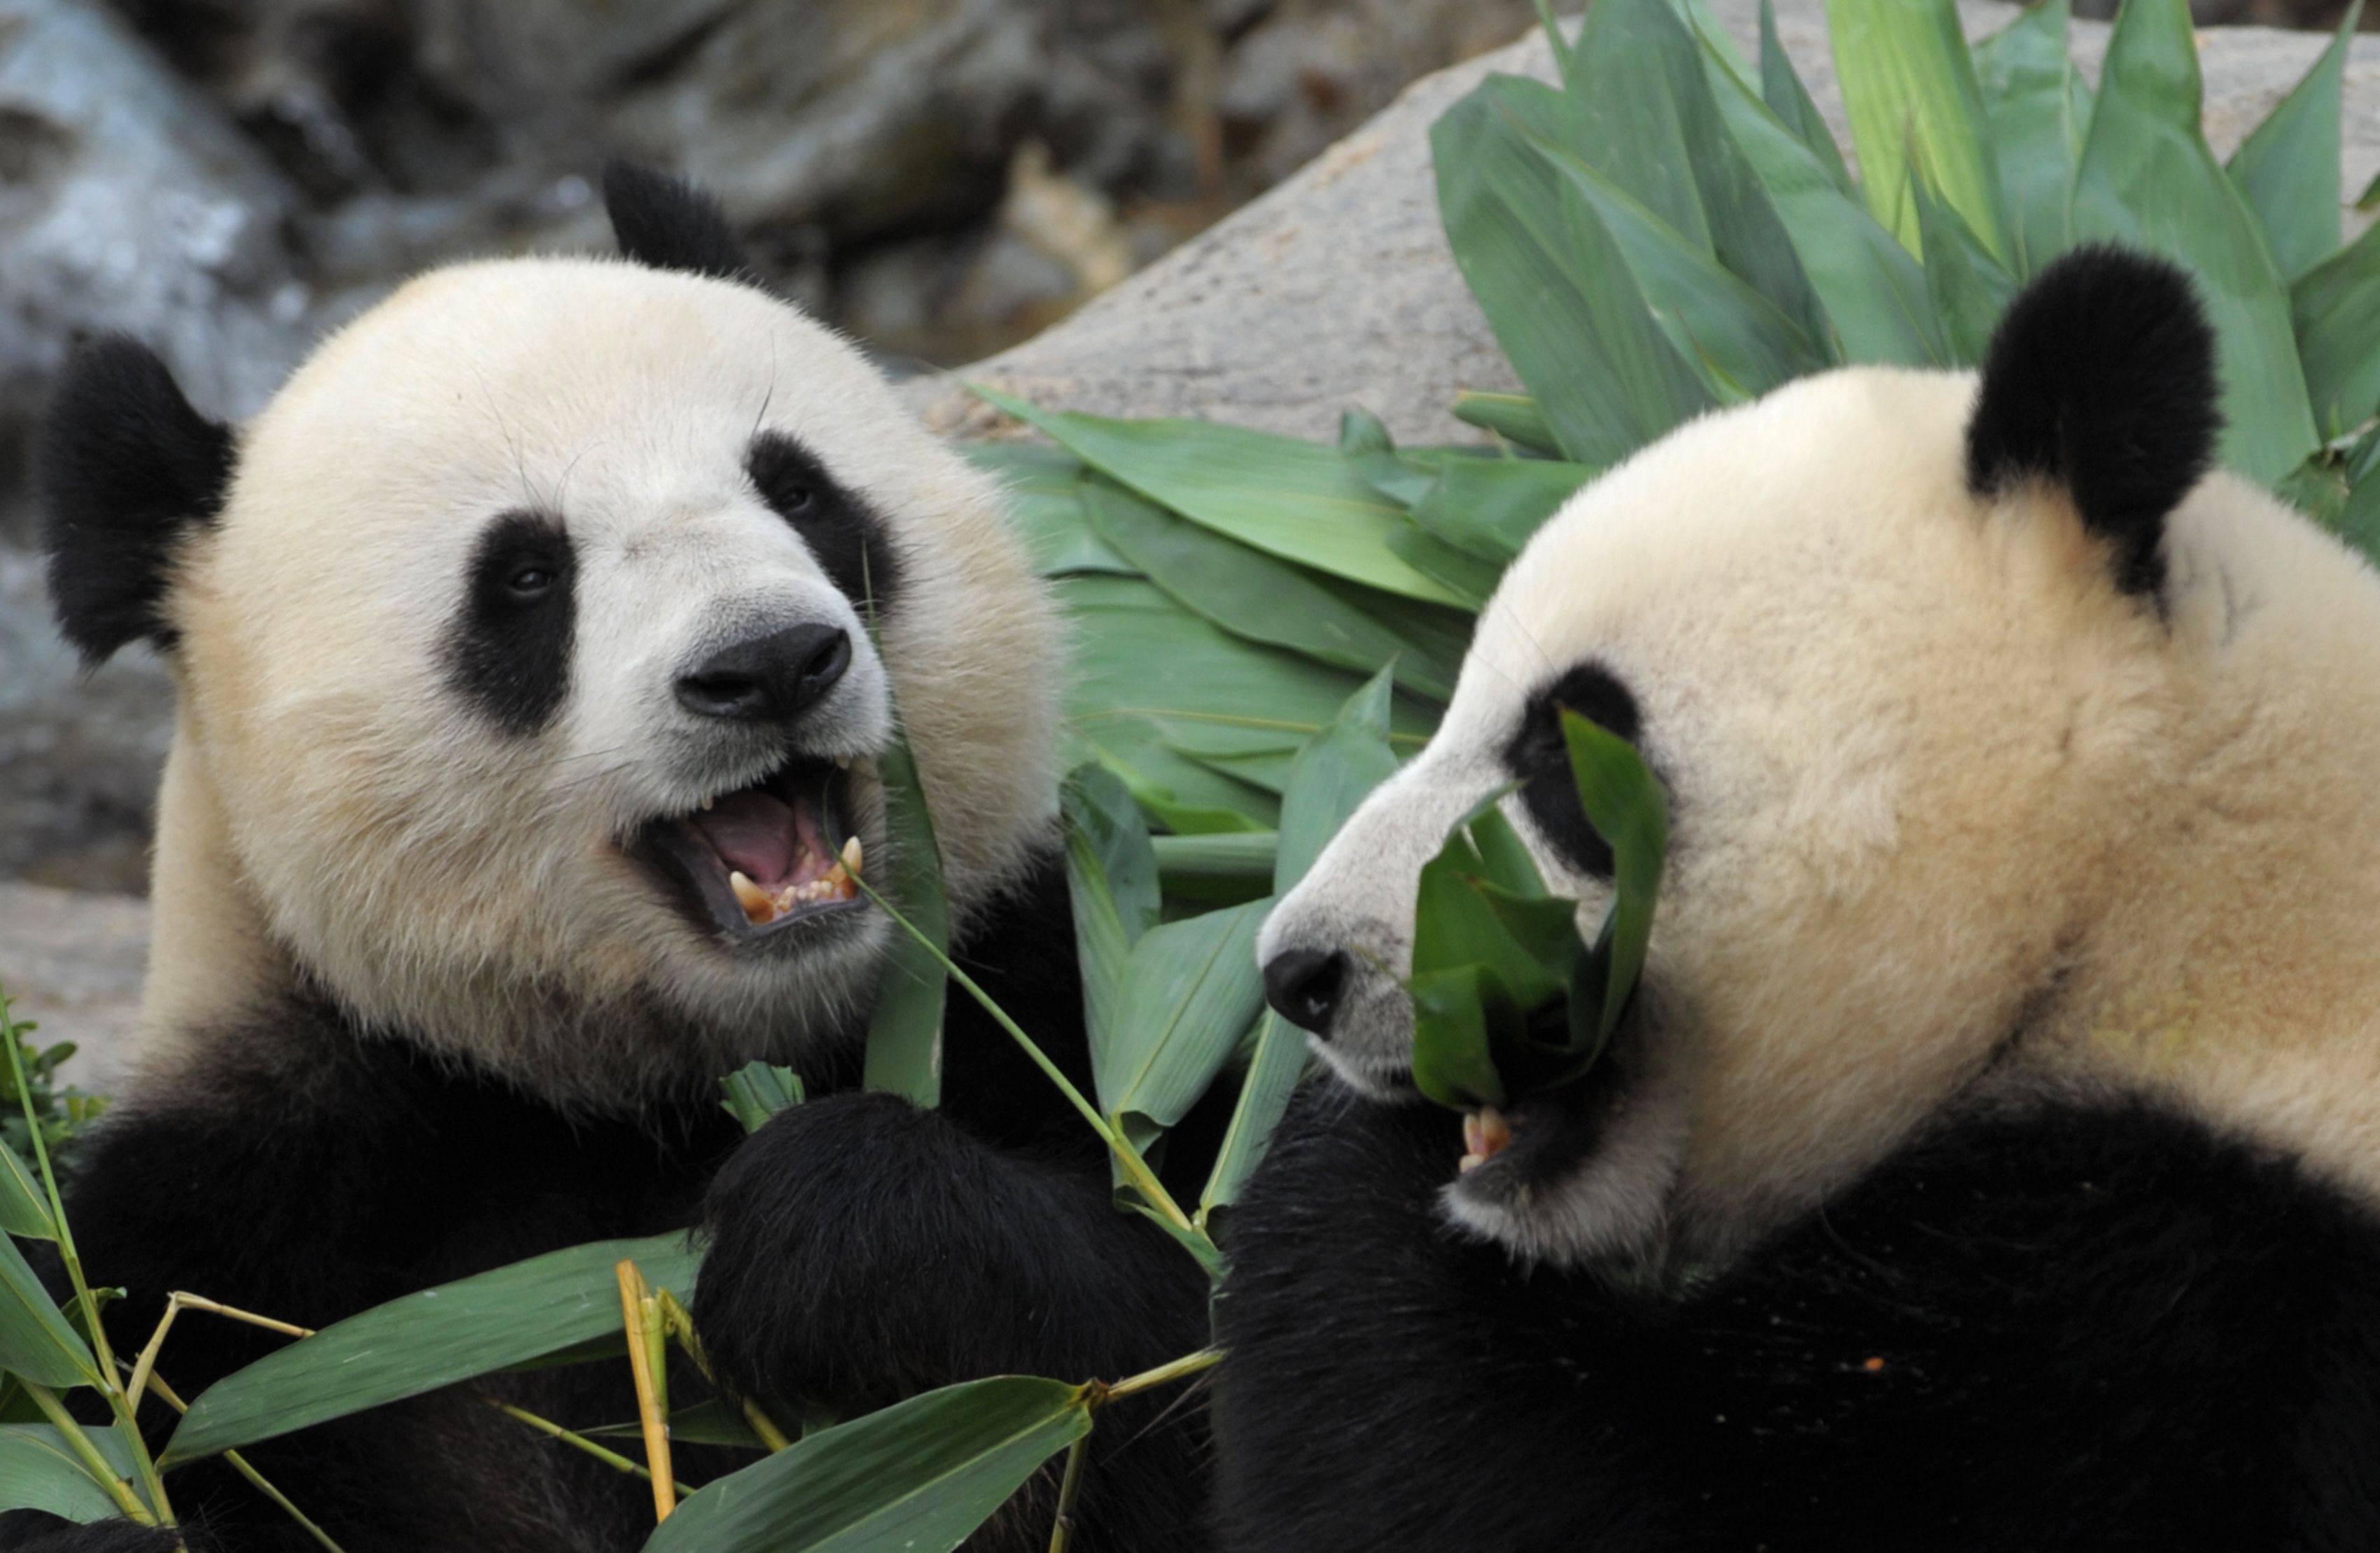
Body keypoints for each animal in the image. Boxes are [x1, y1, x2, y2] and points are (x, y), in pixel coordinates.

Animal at [4, 164, 1209, 1553]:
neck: (644, 1091)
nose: (770, 661)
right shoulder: (241, 1229)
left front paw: (841, 1230)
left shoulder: (1041, 984)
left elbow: (1189, 1337)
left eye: (799, 489)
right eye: (527, 576)